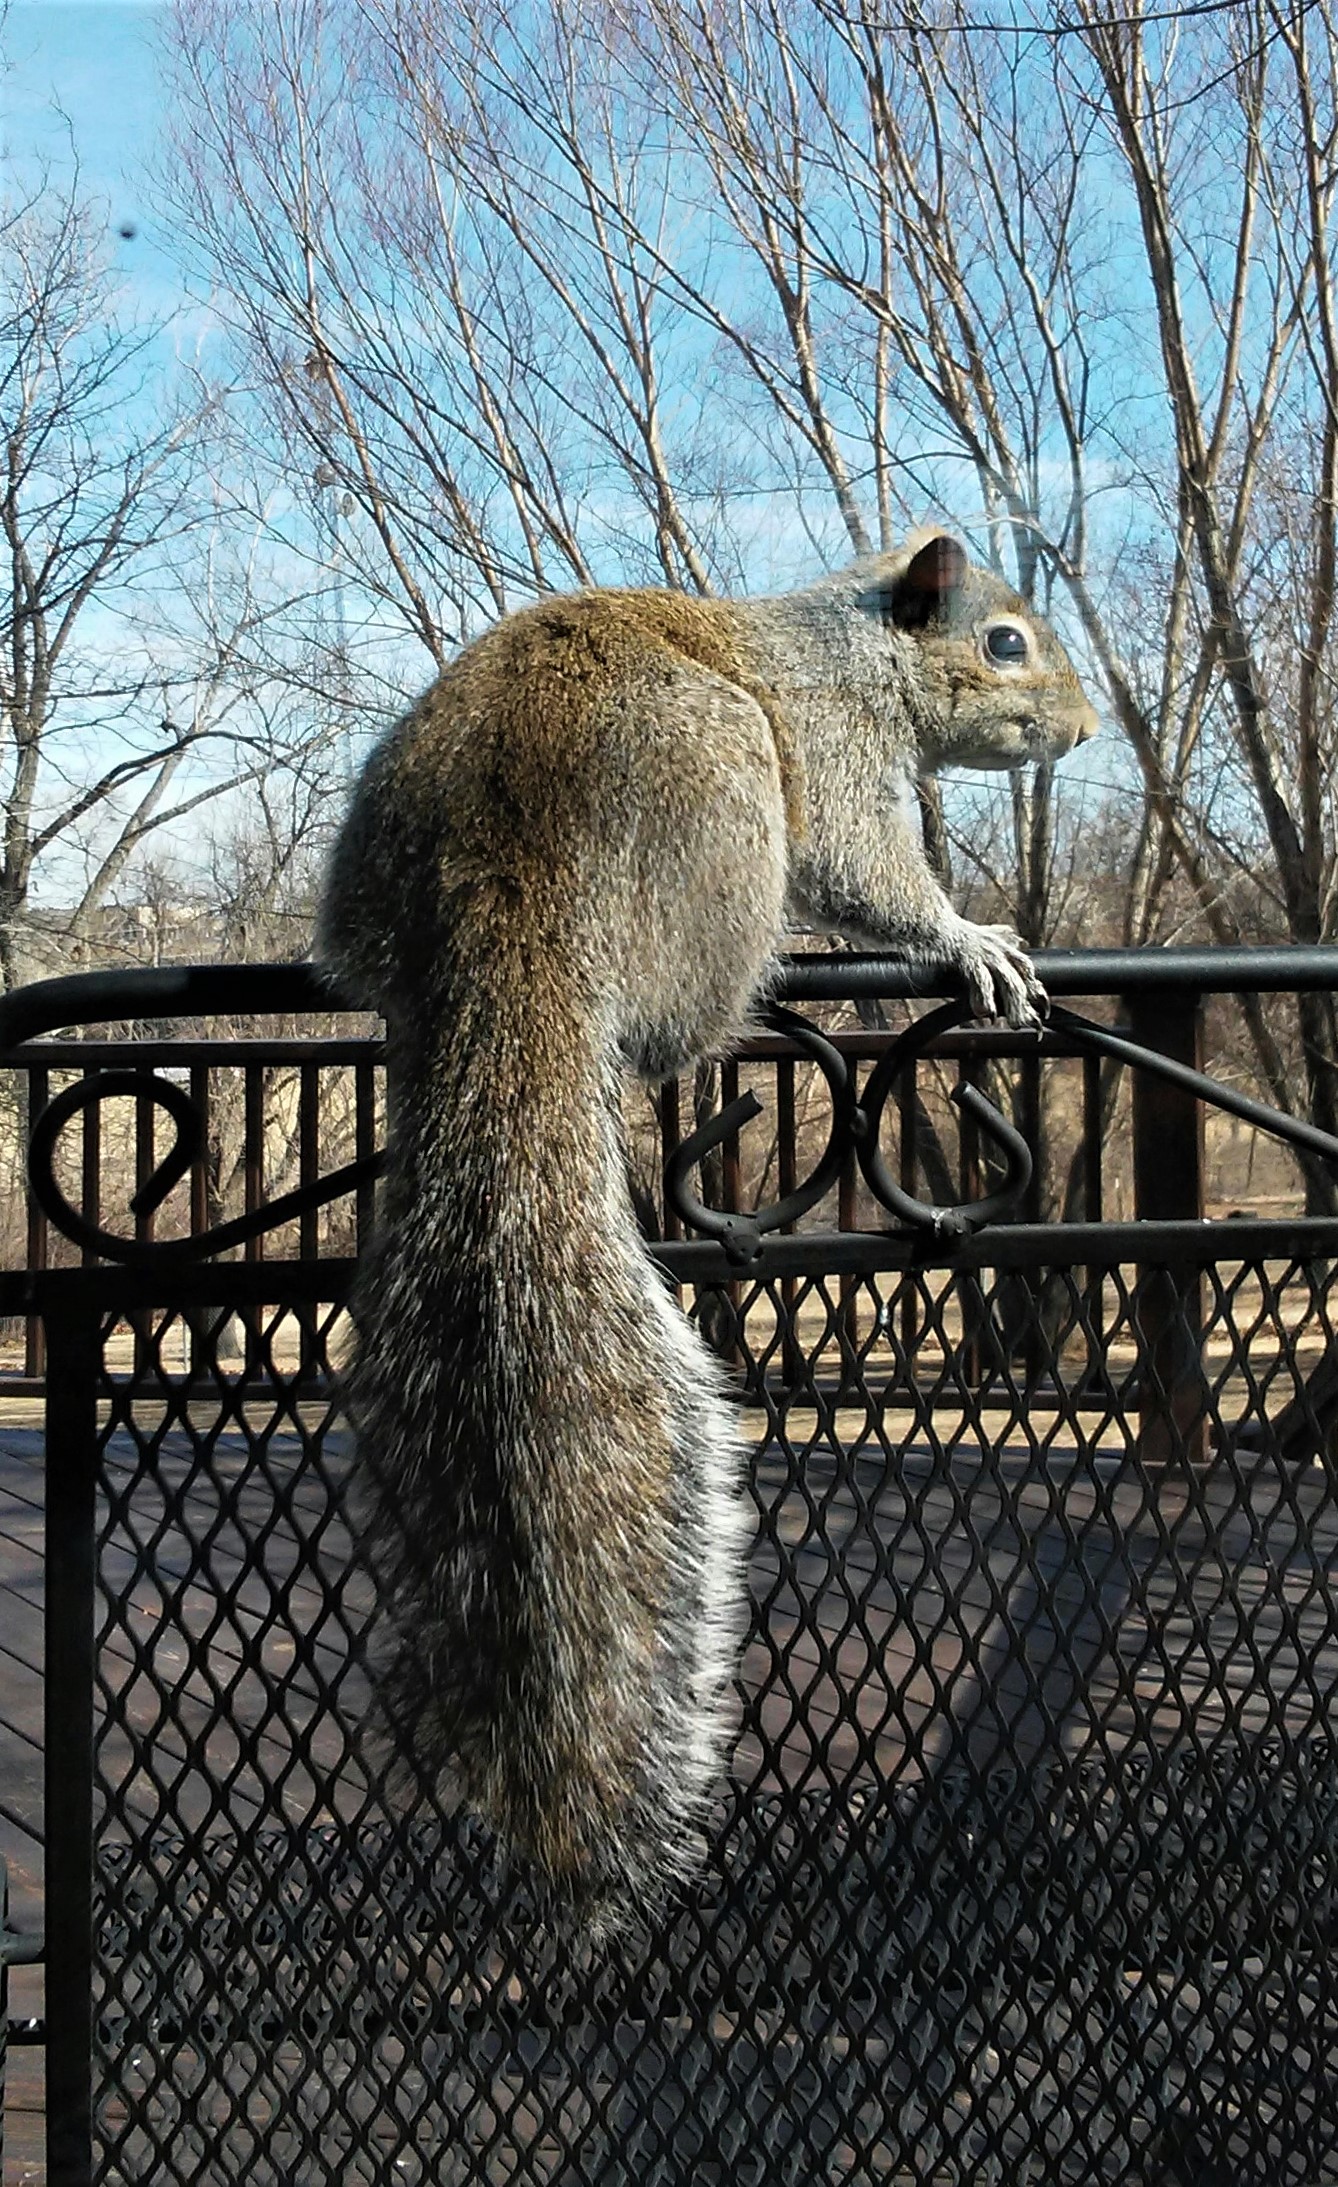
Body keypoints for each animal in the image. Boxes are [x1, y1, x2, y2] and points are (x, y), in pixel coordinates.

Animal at [317, 532, 1098, 1931]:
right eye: (1006, 641)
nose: (1083, 727)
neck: (853, 645)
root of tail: (506, 888)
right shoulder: (834, 753)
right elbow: (865, 869)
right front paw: (969, 936)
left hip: (367, 890)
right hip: (732, 811)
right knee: (689, 1013)